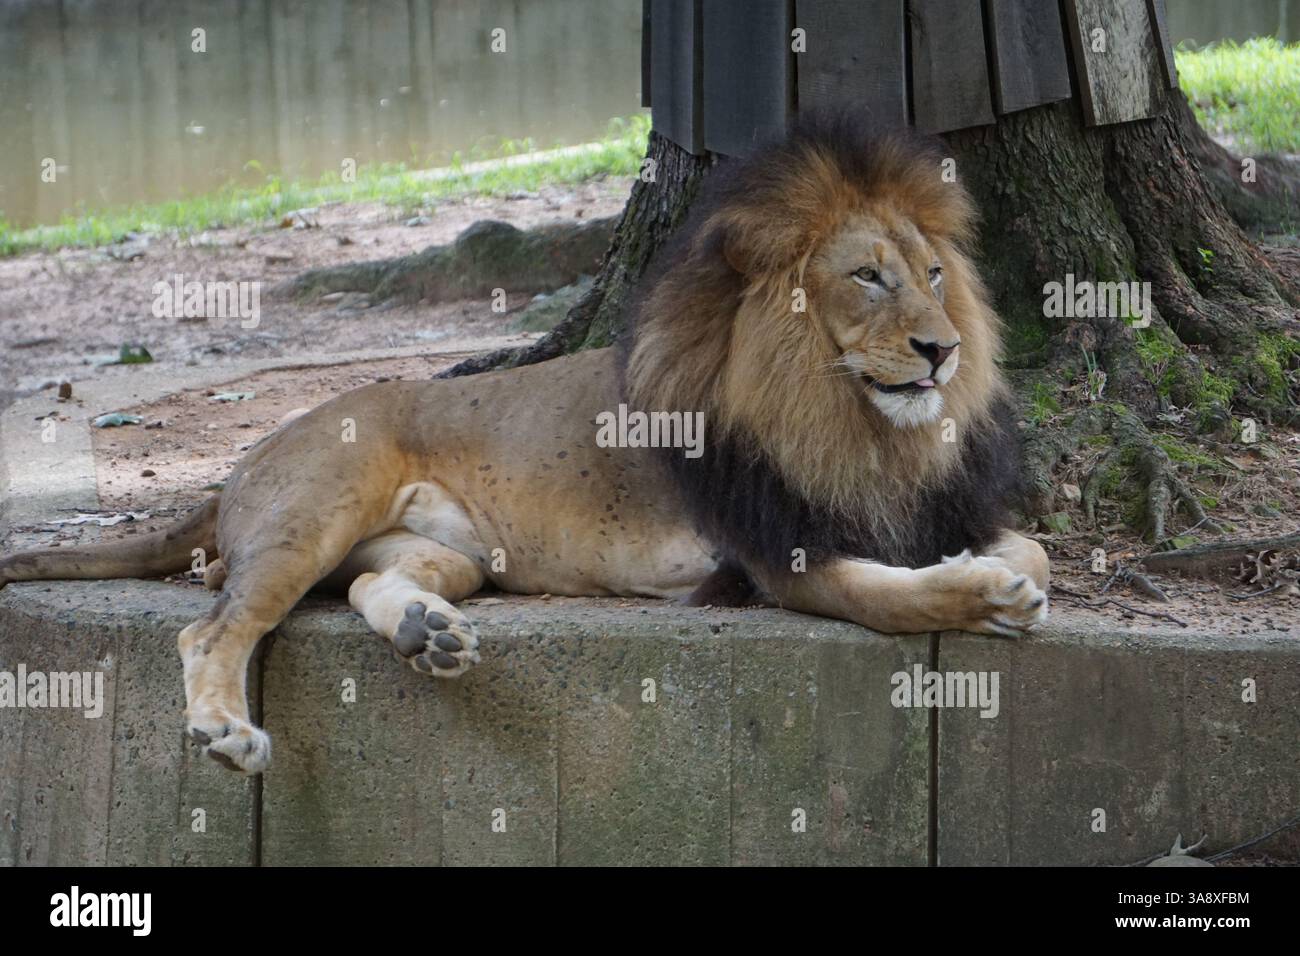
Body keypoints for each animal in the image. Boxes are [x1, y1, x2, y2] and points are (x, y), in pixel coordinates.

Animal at [0, 114, 1048, 774]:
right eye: (868, 277)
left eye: (935, 275)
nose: (945, 350)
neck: (858, 427)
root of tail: (236, 468)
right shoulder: (775, 554)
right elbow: (889, 598)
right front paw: (985, 596)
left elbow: (1030, 544)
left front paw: (1003, 573)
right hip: (318, 503)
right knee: (212, 626)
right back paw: (226, 730)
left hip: (452, 553)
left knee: (374, 583)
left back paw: (428, 634)